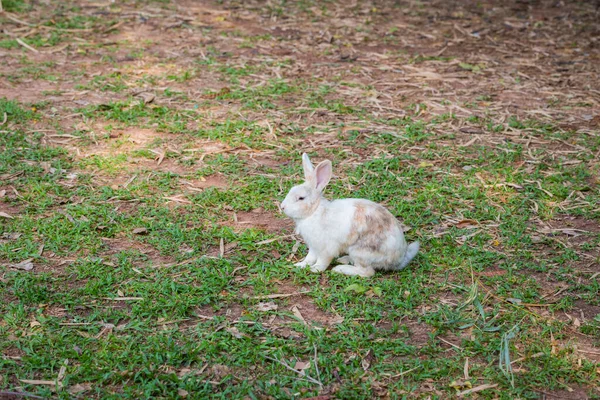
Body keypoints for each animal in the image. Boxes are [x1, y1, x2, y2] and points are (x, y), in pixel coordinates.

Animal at [280, 153, 418, 278]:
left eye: (301, 198)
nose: (282, 207)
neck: (314, 212)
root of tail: (399, 259)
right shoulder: (313, 247)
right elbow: (309, 258)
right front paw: (300, 265)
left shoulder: (326, 248)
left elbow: (322, 261)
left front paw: (315, 269)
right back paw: (343, 260)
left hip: (360, 251)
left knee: (367, 272)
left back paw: (340, 268)